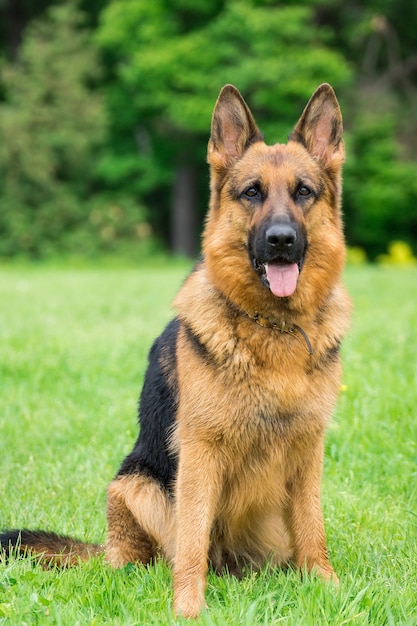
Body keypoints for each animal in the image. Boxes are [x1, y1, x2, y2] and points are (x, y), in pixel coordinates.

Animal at [0, 83, 352, 616]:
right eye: (252, 192)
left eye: (303, 193)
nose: (281, 241)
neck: (272, 326)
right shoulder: (200, 454)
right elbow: (190, 540)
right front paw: (188, 608)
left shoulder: (308, 452)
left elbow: (313, 528)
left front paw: (326, 587)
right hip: (137, 485)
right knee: (151, 556)